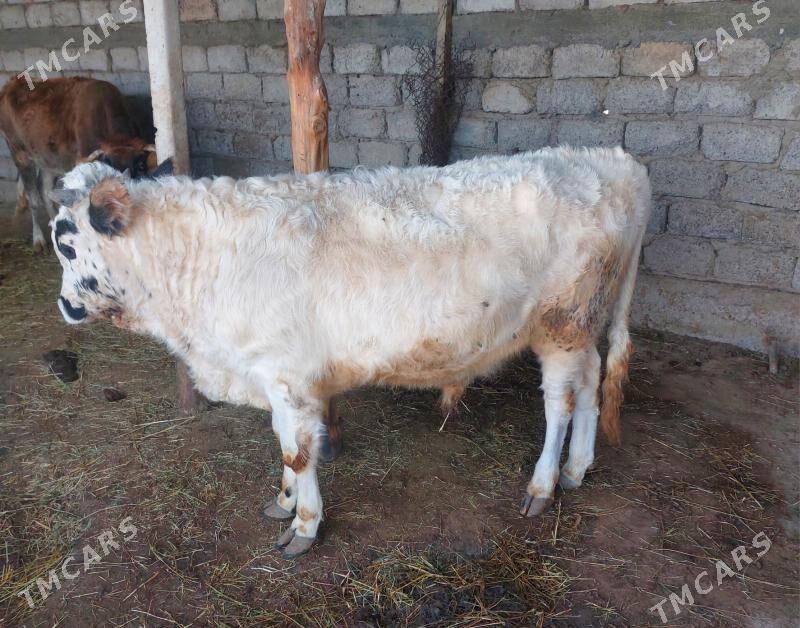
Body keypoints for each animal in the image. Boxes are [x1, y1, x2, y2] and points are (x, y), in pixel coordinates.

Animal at [0, 75, 158, 251]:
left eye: (141, 166)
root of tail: (12, 82)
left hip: (47, 159)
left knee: (45, 189)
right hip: (19, 153)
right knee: (33, 198)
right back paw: (38, 239)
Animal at [47, 147, 651, 559]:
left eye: (66, 243)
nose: (64, 306)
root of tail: (610, 161)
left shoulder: (287, 374)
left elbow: (299, 451)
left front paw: (305, 525)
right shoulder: (276, 378)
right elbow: (284, 442)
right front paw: (285, 502)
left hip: (561, 323)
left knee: (559, 404)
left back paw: (543, 484)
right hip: (583, 326)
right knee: (591, 384)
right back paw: (576, 468)